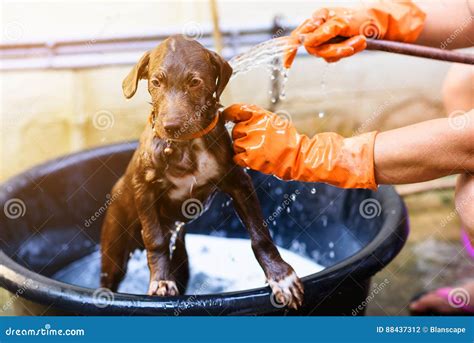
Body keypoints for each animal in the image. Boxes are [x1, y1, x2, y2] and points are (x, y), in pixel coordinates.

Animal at [100, 34, 304, 310]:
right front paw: (161, 281)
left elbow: (260, 234)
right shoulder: (145, 189)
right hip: (114, 245)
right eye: (156, 82)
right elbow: (155, 239)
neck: (186, 146)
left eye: (195, 82)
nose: (171, 126)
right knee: (108, 278)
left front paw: (281, 276)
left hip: (181, 258)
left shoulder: (239, 183)